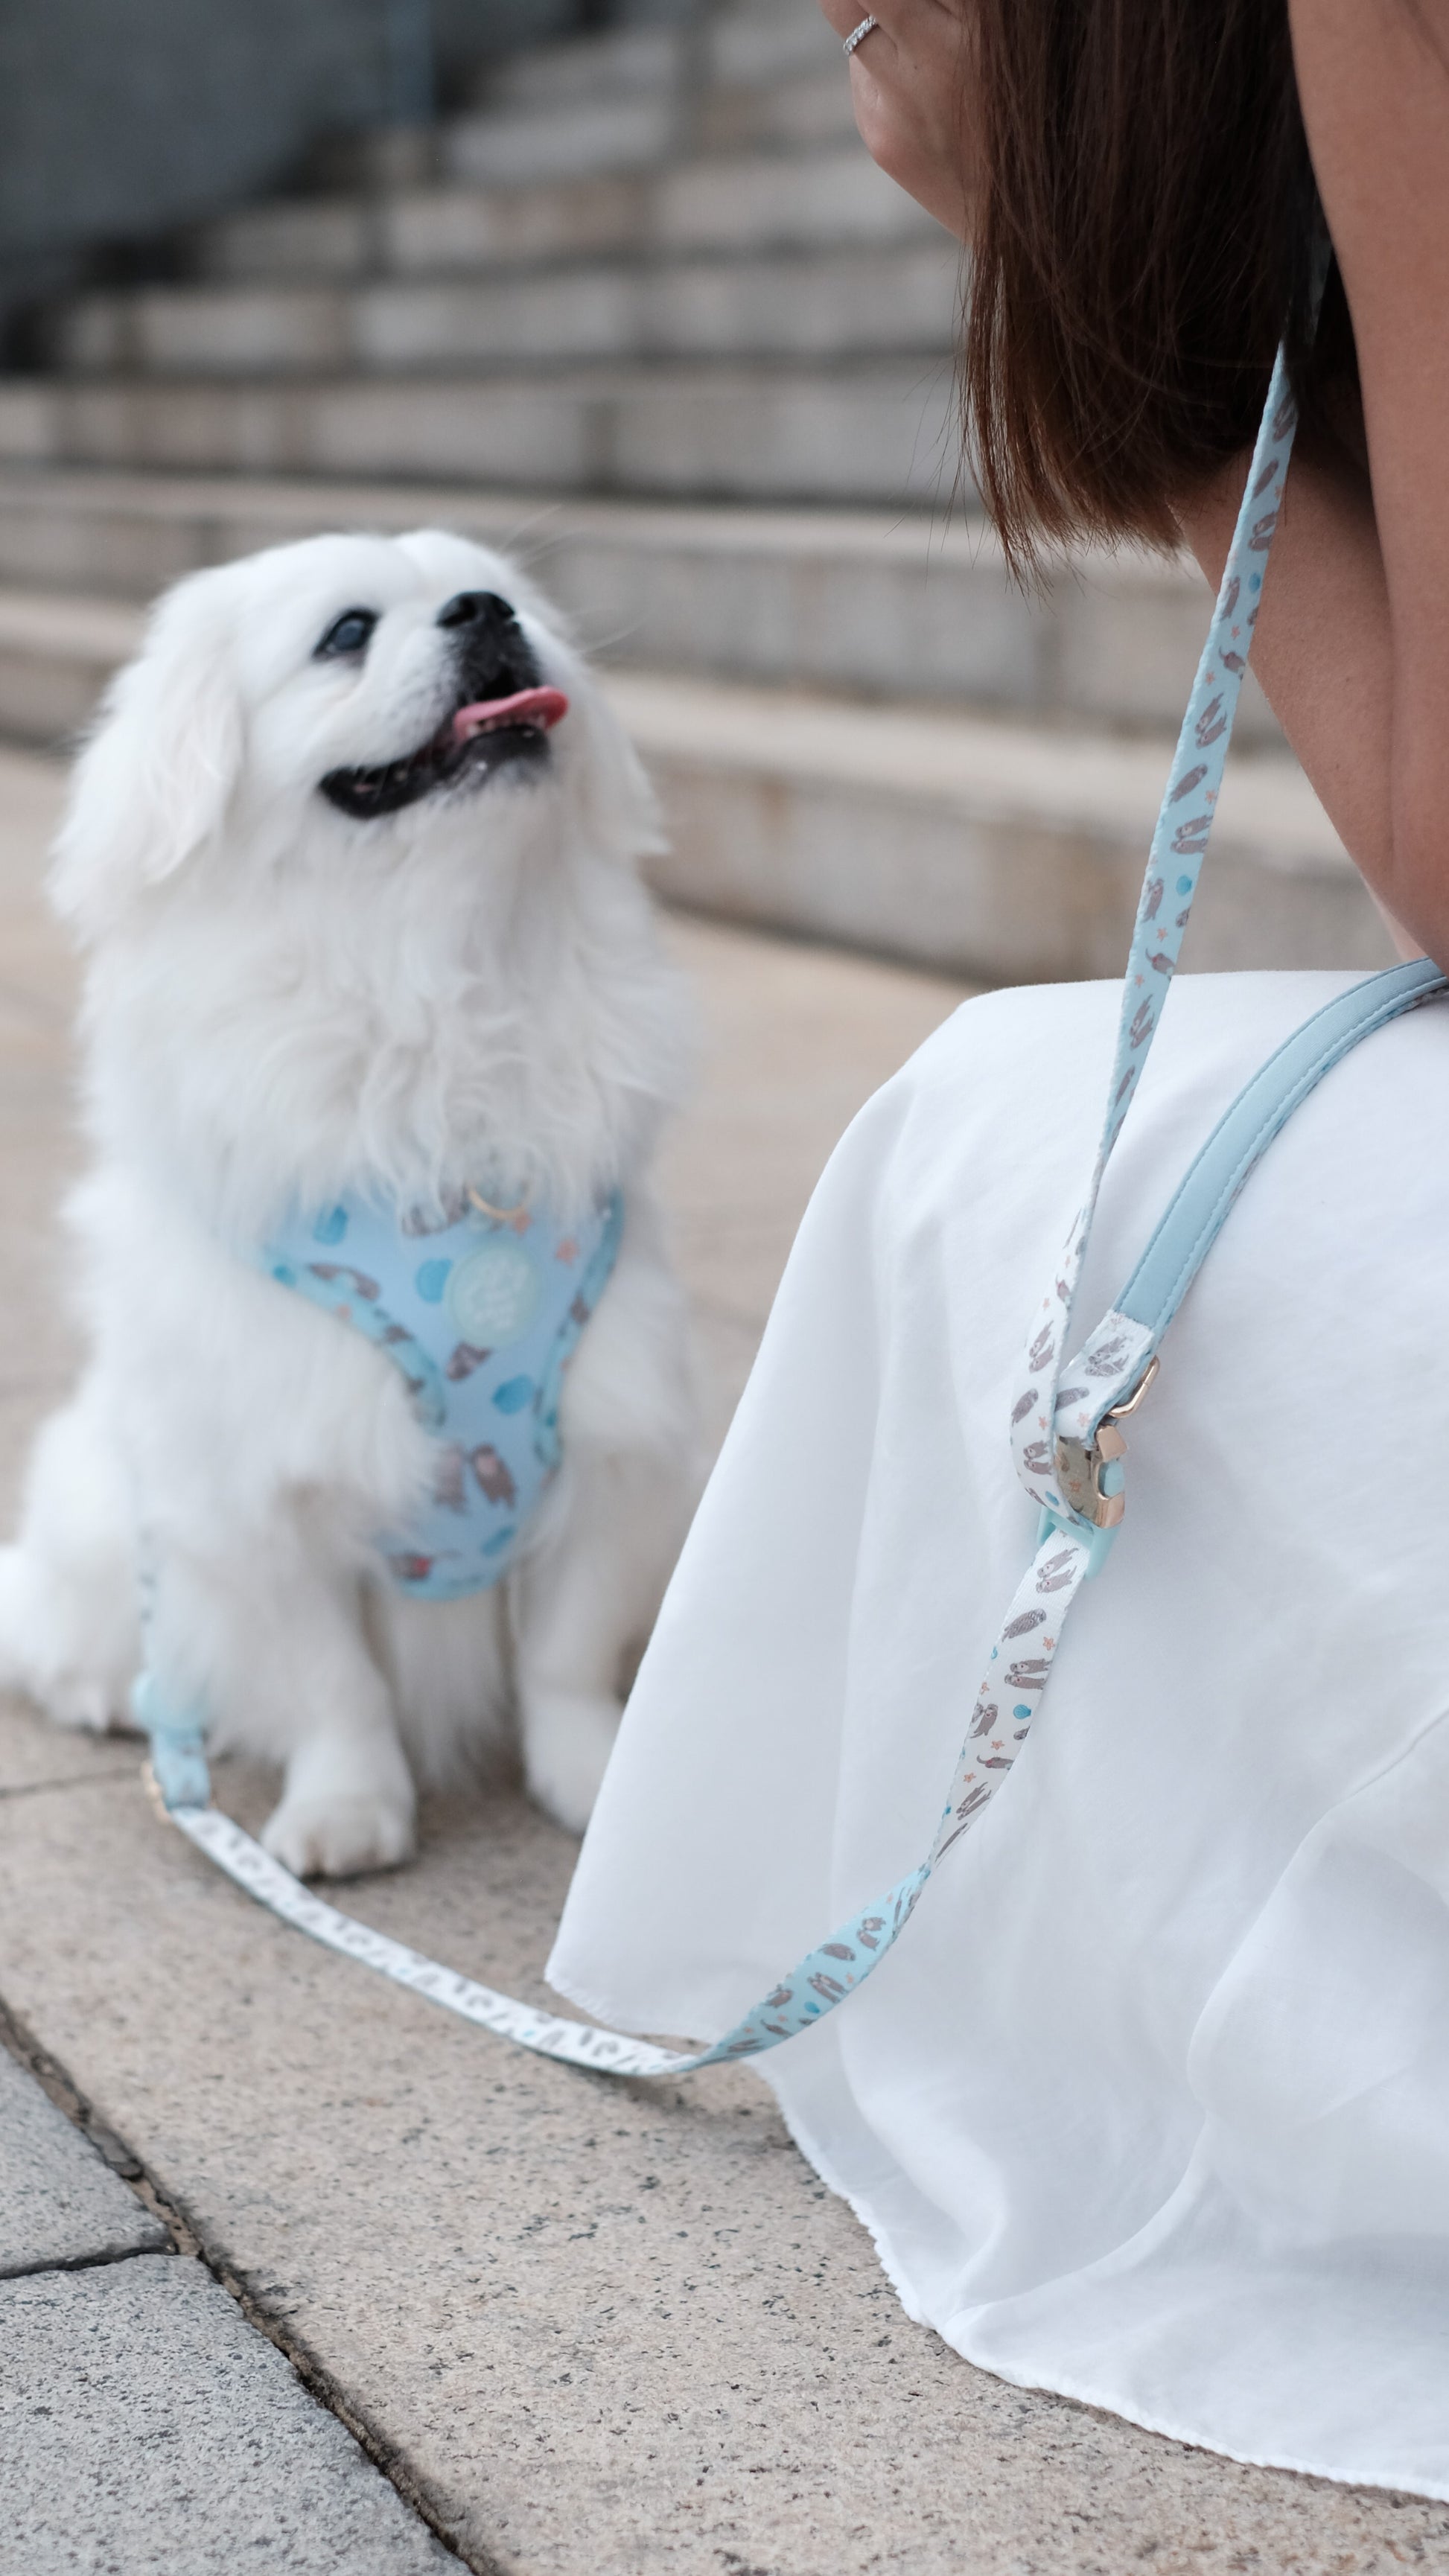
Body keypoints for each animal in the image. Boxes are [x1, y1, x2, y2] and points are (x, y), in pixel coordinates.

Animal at [0, 528, 701, 1875]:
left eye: (513, 606)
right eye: (346, 634)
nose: (483, 615)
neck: (431, 980)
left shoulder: (609, 1441)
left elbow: (565, 1661)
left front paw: (591, 1786)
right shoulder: (252, 1494)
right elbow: (333, 1687)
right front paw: (346, 1815)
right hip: (103, 1510)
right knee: (63, 1638)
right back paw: (117, 1696)